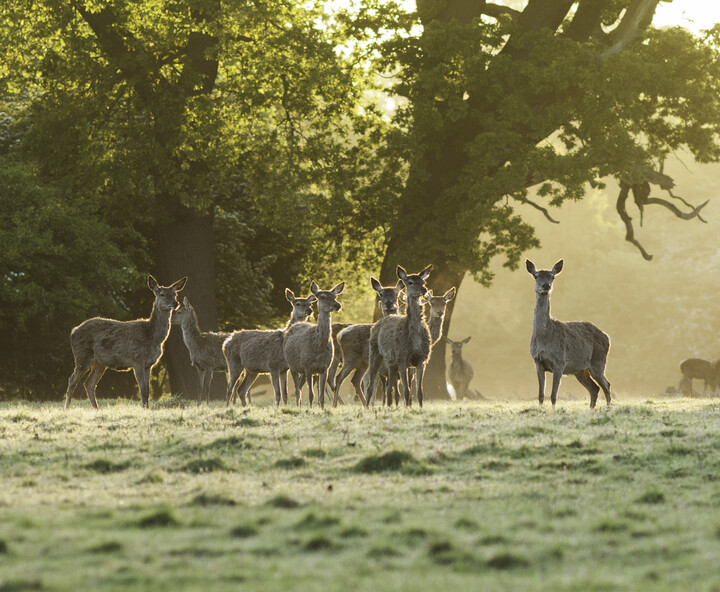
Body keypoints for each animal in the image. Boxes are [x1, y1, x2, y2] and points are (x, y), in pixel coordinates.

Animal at [64, 276, 187, 408]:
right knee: (72, 380)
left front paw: (147, 408)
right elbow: (143, 390)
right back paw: (67, 408)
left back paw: (96, 409)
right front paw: (144, 408)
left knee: (89, 384)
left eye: (175, 294)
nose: (175, 303)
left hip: (100, 363)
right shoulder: (137, 360)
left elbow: (148, 391)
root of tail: (73, 331)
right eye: (162, 294)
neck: (153, 338)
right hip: (82, 356)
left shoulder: (149, 364)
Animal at [282, 280, 344, 410]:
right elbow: (311, 394)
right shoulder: (308, 366)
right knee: (297, 389)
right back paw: (298, 406)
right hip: (292, 366)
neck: (318, 347)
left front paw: (322, 408)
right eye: (323, 296)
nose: (338, 305)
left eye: (335, 296)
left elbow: (321, 396)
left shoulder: (324, 367)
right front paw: (310, 408)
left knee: (299, 387)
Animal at [334, 276, 404, 404]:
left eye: (396, 293)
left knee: (355, 380)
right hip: (351, 358)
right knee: (339, 378)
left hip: (363, 363)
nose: (388, 303)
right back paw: (335, 404)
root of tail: (341, 334)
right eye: (381, 294)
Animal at [368, 268, 430, 408]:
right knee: (371, 385)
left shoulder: (422, 359)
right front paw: (407, 408)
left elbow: (419, 392)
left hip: (391, 362)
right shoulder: (402, 357)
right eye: (410, 282)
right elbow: (406, 391)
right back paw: (367, 407)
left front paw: (420, 408)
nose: (424, 289)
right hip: (374, 352)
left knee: (389, 388)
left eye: (423, 281)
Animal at [524, 262, 612, 410]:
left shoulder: (559, 362)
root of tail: (607, 336)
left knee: (606, 384)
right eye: (536, 276)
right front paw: (541, 409)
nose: (546, 285)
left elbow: (554, 395)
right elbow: (541, 395)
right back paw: (591, 409)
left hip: (598, 361)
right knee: (595, 388)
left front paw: (554, 410)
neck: (544, 339)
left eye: (552, 276)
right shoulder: (537, 362)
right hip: (580, 370)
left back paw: (608, 408)